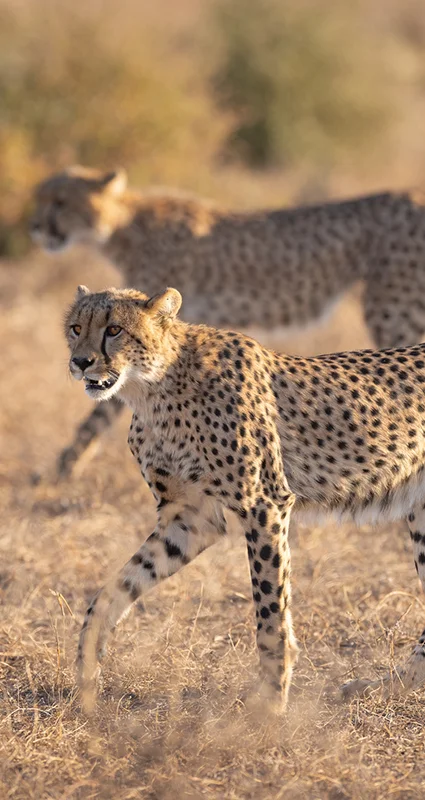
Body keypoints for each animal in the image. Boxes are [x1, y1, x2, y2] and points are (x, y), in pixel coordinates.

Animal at [31, 165, 425, 480]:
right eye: (42, 198)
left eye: (61, 202)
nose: (35, 228)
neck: (123, 227)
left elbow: (103, 408)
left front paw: (63, 467)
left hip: (392, 311)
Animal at [65, 283, 425, 712]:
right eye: (75, 328)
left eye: (114, 329)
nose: (80, 362)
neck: (154, 386)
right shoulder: (190, 517)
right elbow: (114, 590)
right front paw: (87, 669)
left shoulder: (264, 503)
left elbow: (270, 611)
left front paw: (270, 706)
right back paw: (385, 687)